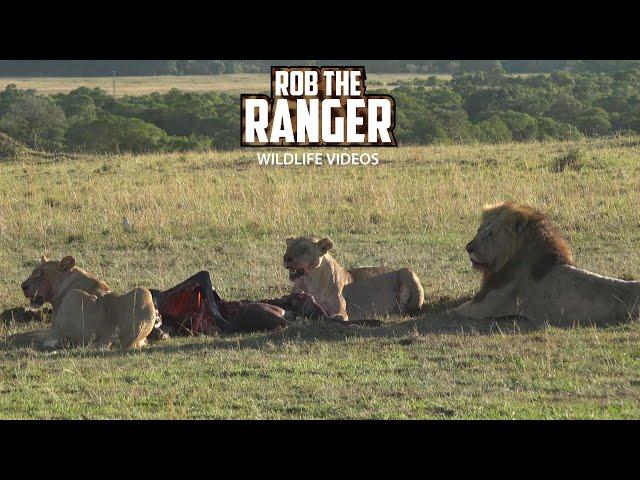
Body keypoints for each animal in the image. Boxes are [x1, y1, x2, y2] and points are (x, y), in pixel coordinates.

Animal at [20, 256, 156, 346]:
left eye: (41, 274)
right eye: (33, 272)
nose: (23, 286)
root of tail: (112, 332)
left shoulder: (53, 327)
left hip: (72, 296)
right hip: (144, 292)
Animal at [282, 235, 422, 320]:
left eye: (304, 249)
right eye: (288, 247)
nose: (286, 258)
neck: (310, 282)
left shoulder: (342, 312)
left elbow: (336, 316)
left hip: (408, 271)